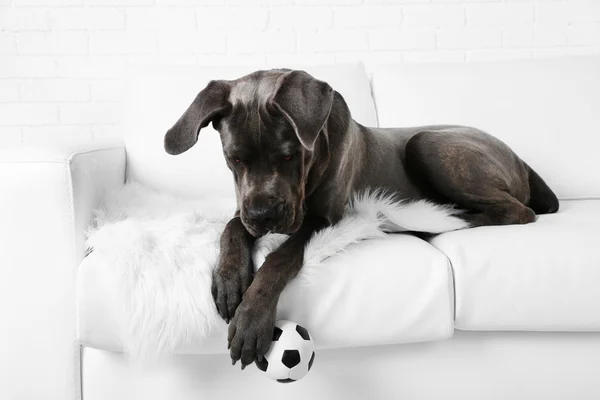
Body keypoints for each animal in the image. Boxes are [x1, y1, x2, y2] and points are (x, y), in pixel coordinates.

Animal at [163, 68, 556, 368]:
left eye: (289, 156)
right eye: (234, 159)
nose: (264, 216)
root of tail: (520, 159)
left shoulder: (323, 219)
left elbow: (280, 257)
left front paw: (251, 318)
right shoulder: (244, 207)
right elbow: (232, 228)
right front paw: (230, 278)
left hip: (427, 143)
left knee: (517, 211)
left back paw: (426, 223)